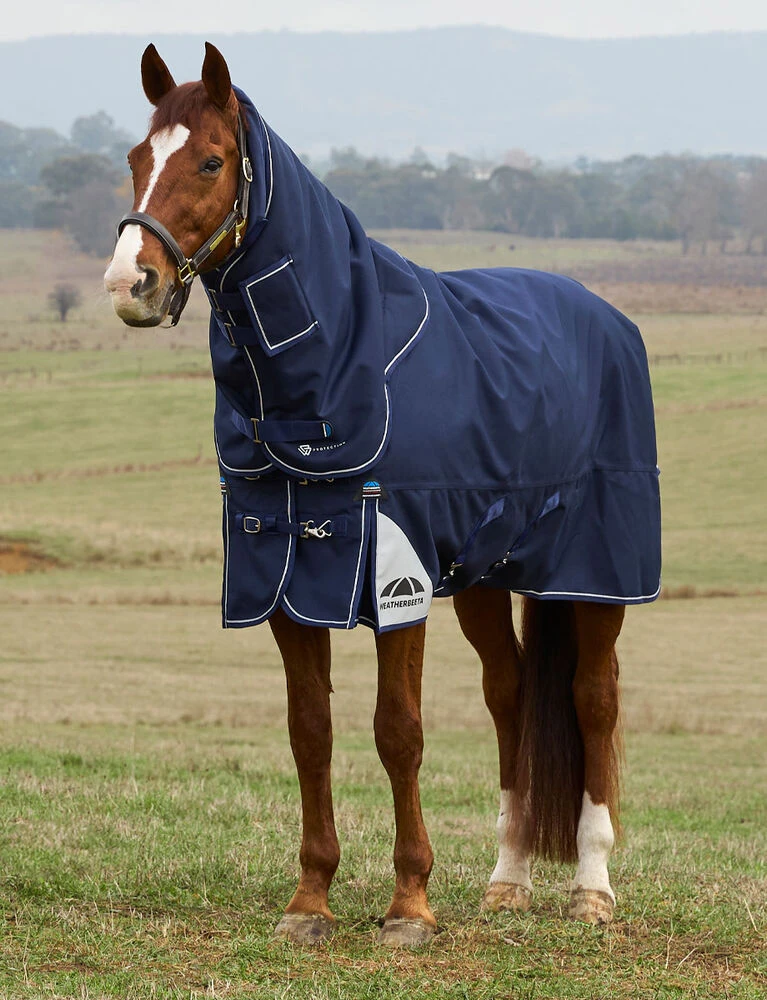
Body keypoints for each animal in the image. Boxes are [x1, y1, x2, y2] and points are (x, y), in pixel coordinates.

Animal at [104, 43, 661, 948]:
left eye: (212, 161)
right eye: (134, 160)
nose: (130, 284)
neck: (337, 363)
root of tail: (604, 318)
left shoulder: (394, 575)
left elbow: (397, 732)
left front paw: (408, 905)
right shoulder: (284, 572)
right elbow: (311, 732)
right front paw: (310, 901)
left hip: (593, 577)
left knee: (594, 702)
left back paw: (590, 889)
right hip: (487, 576)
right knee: (510, 698)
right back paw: (507, 880)